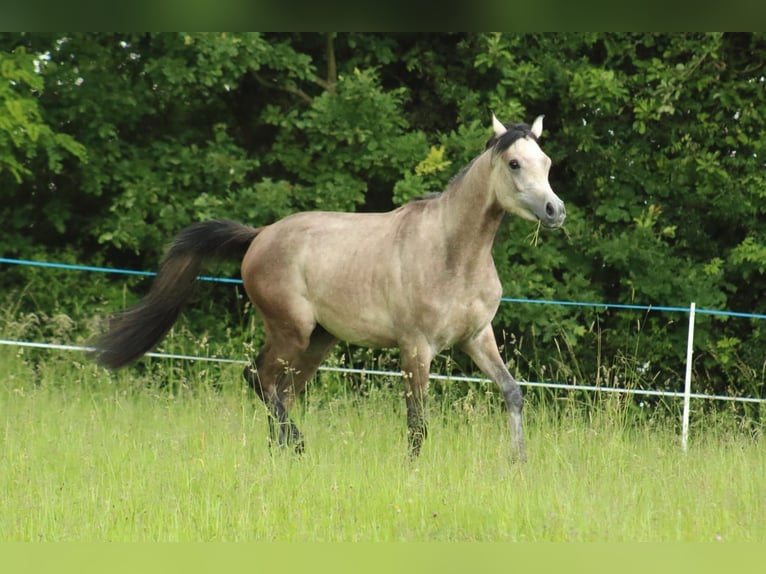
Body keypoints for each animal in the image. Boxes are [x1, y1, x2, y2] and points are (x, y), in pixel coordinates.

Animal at [93, 116, 568, 464]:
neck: (453, 253)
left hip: (318, 342)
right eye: (514, 164)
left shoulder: (477, 337)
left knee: (279, 390)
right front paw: (412, 470)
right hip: (292, 331)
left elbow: (512, 392)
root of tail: (260, 236)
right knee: (258, 377)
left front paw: (520, 463)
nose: (555, 210)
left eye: (546, 162)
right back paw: (297, 447)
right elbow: (417, 419)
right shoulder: (416, 348)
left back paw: (280, 454)